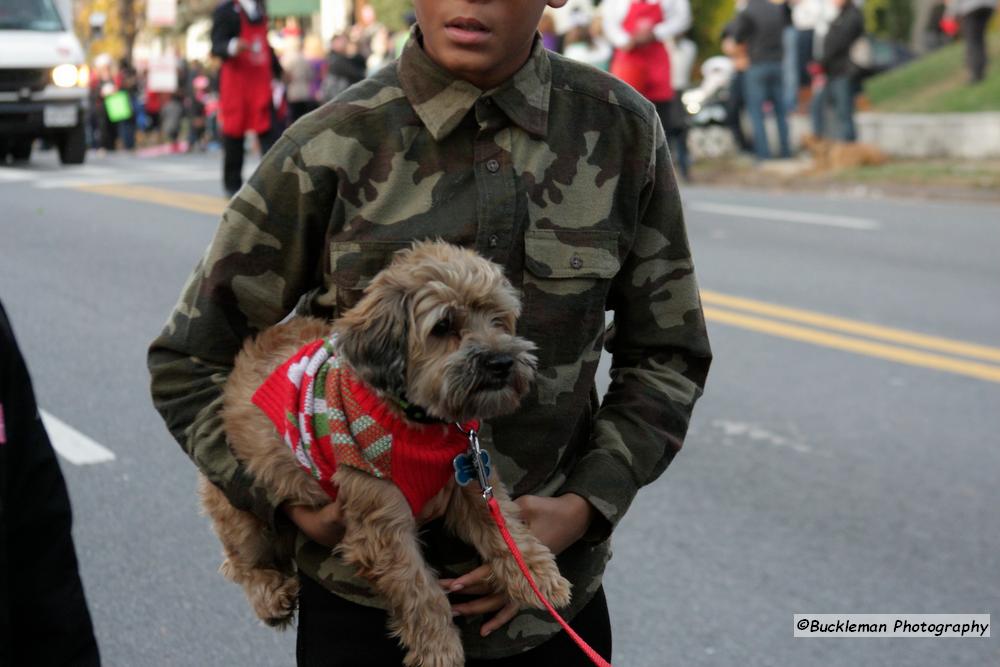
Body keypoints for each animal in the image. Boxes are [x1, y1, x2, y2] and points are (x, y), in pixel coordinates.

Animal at [199, 241, 572, 667]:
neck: (416, 424)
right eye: (443, 326)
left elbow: (505, 528)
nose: (501, 362)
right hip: (241, 511)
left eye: (498, 319)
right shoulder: (382, 526)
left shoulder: (470, 482)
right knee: (240, 561)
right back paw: (271, 595)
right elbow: (420, 592)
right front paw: (439, 648)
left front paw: (538, 576)